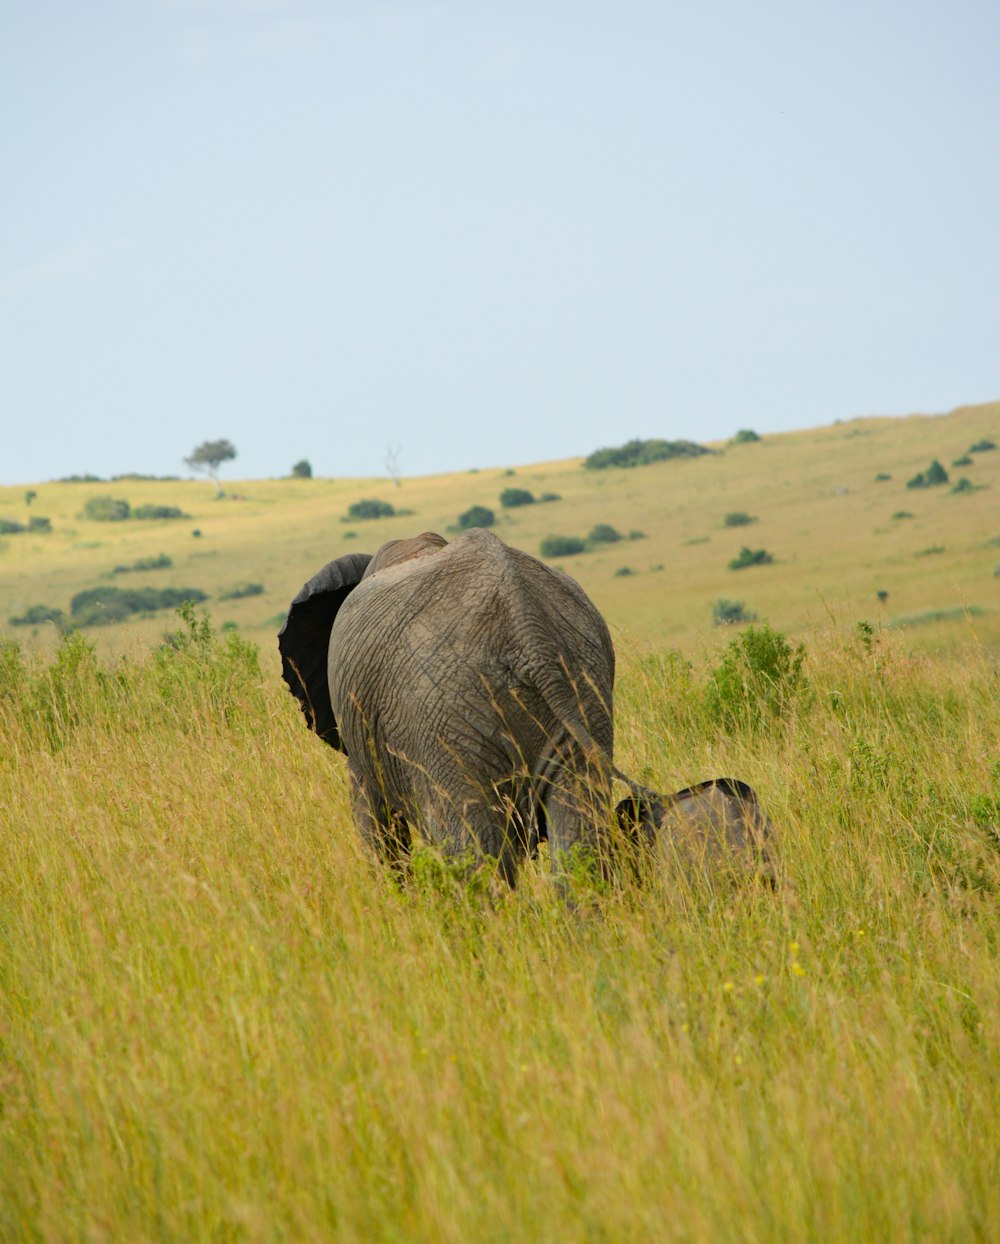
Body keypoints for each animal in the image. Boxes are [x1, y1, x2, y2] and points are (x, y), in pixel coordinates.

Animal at [277, 524, 771, 885]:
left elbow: (377, 828)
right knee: (577, 845)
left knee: (473, 856)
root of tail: (525, 625)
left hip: (442, 716)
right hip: (580, 688)